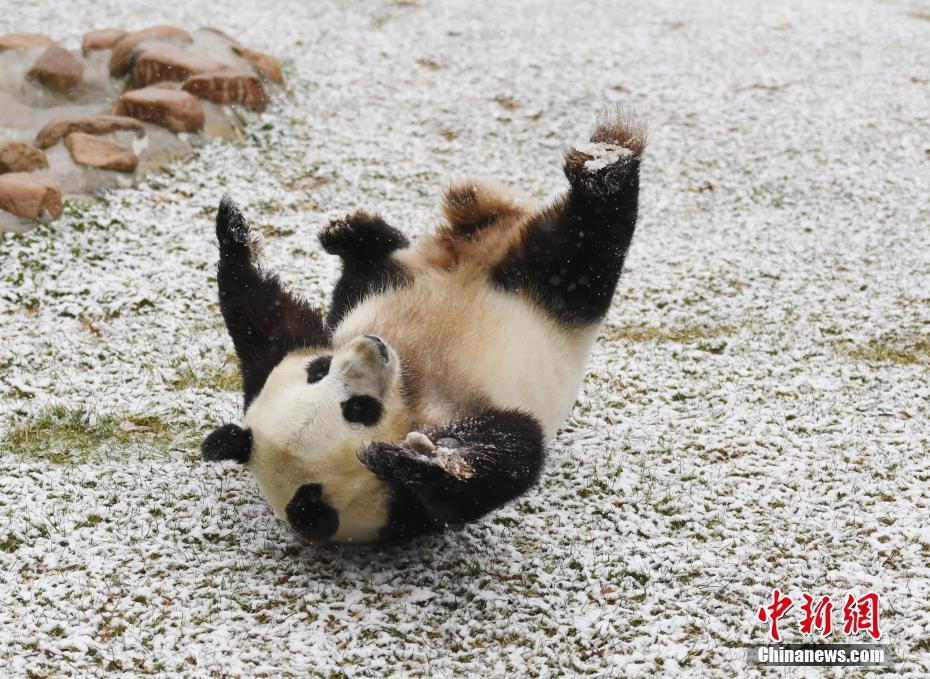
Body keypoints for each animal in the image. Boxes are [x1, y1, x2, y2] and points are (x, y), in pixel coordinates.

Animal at [200, 111, 640, 548]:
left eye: (319, 369)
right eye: (359, 409)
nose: (371, 345)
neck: (408, 389)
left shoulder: (274, 366)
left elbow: (261, 315)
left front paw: (231, 227)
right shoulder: (413, 505)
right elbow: (509, 459)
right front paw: (415, 459)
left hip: (397, 276)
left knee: (375, 260)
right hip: (545, 295)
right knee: (581, 251)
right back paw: (606, 171)